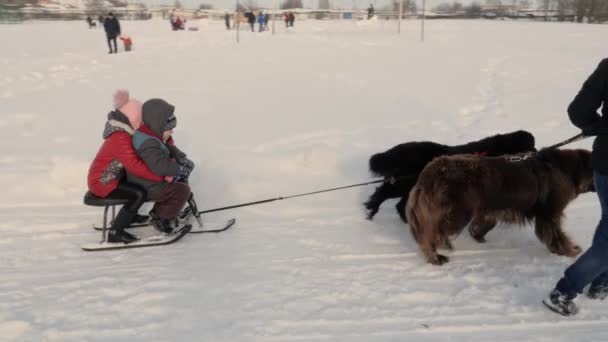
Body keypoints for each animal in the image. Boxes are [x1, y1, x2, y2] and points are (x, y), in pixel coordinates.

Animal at [364, 130, 536, 222]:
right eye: (529, 146)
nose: (536, 152)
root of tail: (399, 151)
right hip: (404, 184)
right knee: (384, 193)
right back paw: (372, 208)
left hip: (408, 186)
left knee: (396, 203)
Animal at [404, 149, 592, 264]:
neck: (566, 169)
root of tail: (427, 175)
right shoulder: (549, 214)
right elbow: (557, 236)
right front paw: (570, 251)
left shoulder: (490, 211)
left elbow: (482, 225)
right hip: (457, 213)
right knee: (429, 234)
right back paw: (435, 257)